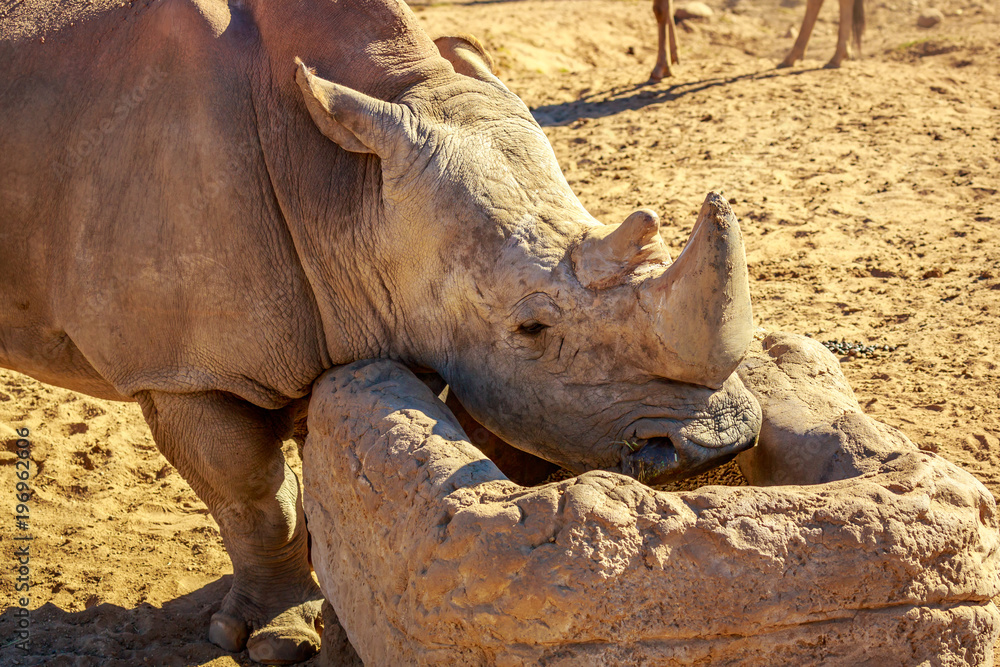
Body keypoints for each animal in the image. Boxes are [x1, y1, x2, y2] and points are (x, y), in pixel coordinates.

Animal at [0, 0, 761, 662]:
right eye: (532, 328)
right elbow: (253, 493)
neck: (342, 184)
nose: (717, 444)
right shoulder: (182, 369)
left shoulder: (375, 310)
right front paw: (281, 640)